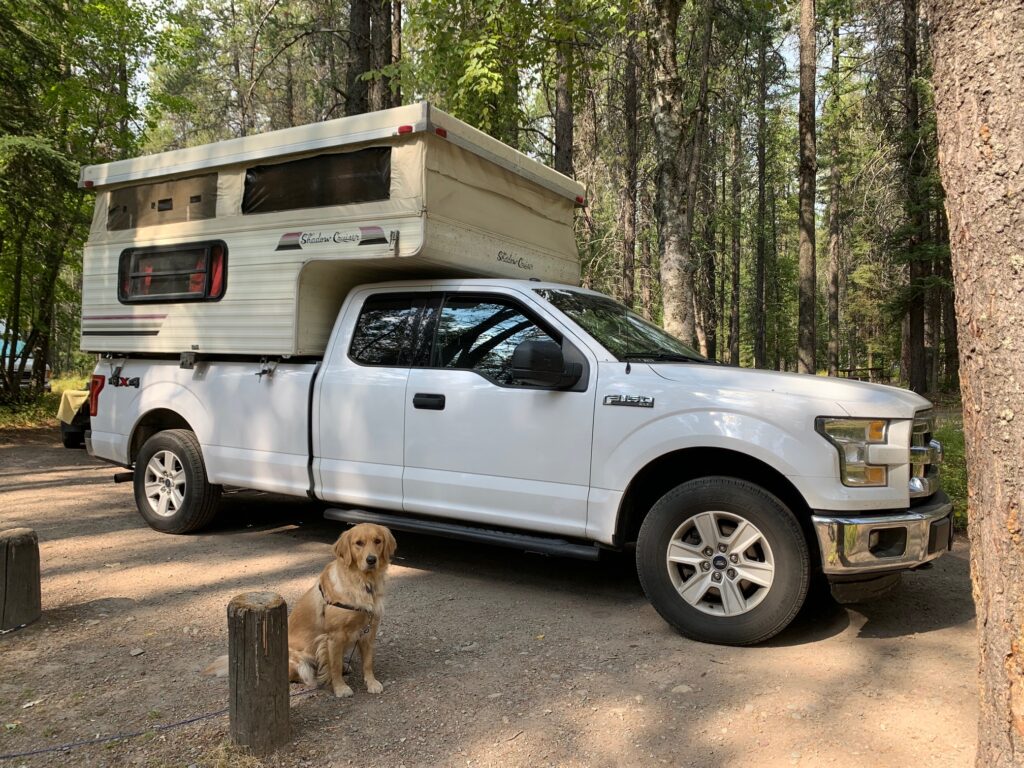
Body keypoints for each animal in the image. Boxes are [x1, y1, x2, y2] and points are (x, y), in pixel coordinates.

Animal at [204, 524, 395, 696]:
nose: (371, 560)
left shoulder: (368, 631)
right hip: (300, 660)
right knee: (300, 675)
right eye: (358, 543)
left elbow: (368, 662)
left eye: (377, 541)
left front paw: (372, 683)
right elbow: (333, 667)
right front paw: (340, 688)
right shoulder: (334, 636)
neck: (364, 583)